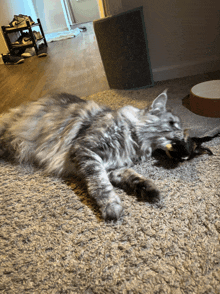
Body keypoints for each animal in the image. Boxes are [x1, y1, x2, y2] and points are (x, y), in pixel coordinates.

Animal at [0, 89, 182, 220]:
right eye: (172, 123)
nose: (183, 134)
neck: (132, 141)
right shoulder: (86, 150)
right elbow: (100, 184)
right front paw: (111, 207)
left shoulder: (113, 166)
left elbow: (132, 176)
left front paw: (149, 190)